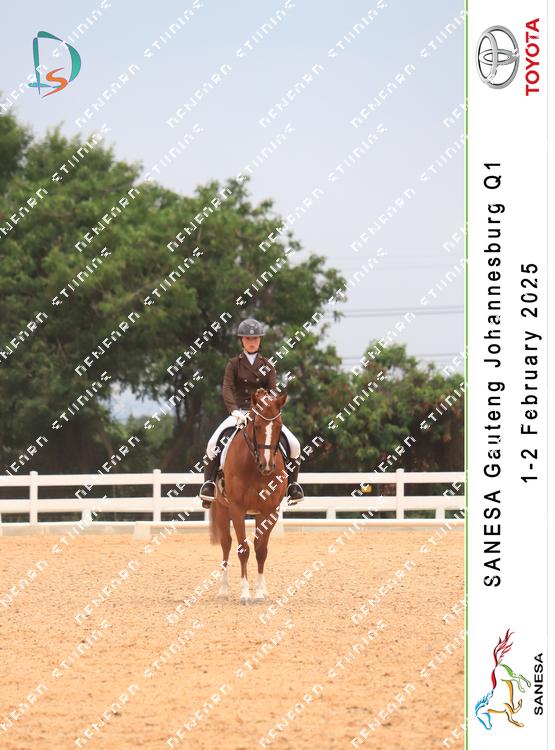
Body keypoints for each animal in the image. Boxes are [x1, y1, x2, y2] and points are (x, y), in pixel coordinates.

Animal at [209, 387, 288, 605]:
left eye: (279, 426)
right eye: (258, 425)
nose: (267, 466)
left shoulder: (270, 511)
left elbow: (261, 550)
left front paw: (259, 593)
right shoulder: (237, 509)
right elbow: (243, 549)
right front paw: (245, 594)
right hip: (222, 508)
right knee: (226, 544)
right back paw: (223, 590)